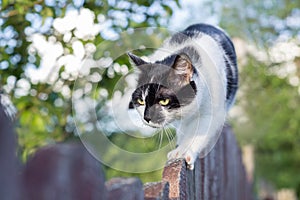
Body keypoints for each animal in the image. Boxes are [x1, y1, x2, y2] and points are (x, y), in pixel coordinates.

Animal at [126, 23, 237, 170]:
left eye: (164, 101)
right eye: (141, 101)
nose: (147, 118)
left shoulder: (212, 111)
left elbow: (199, 133)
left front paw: (184, 152)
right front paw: (180, 148)